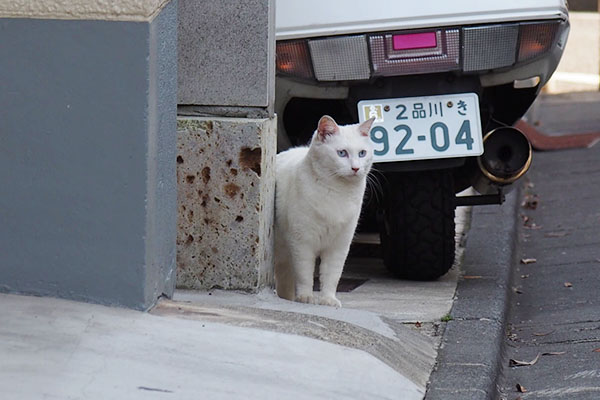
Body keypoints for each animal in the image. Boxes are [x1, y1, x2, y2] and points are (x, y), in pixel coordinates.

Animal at [274, 114, 372, 308]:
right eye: (342, 153)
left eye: (362, 153)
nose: (356, 168)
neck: (338, 192)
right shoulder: (302, 243)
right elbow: (305, 274)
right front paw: (306, 297)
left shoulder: (339, 246)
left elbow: (331, 276)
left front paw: (328, 300)